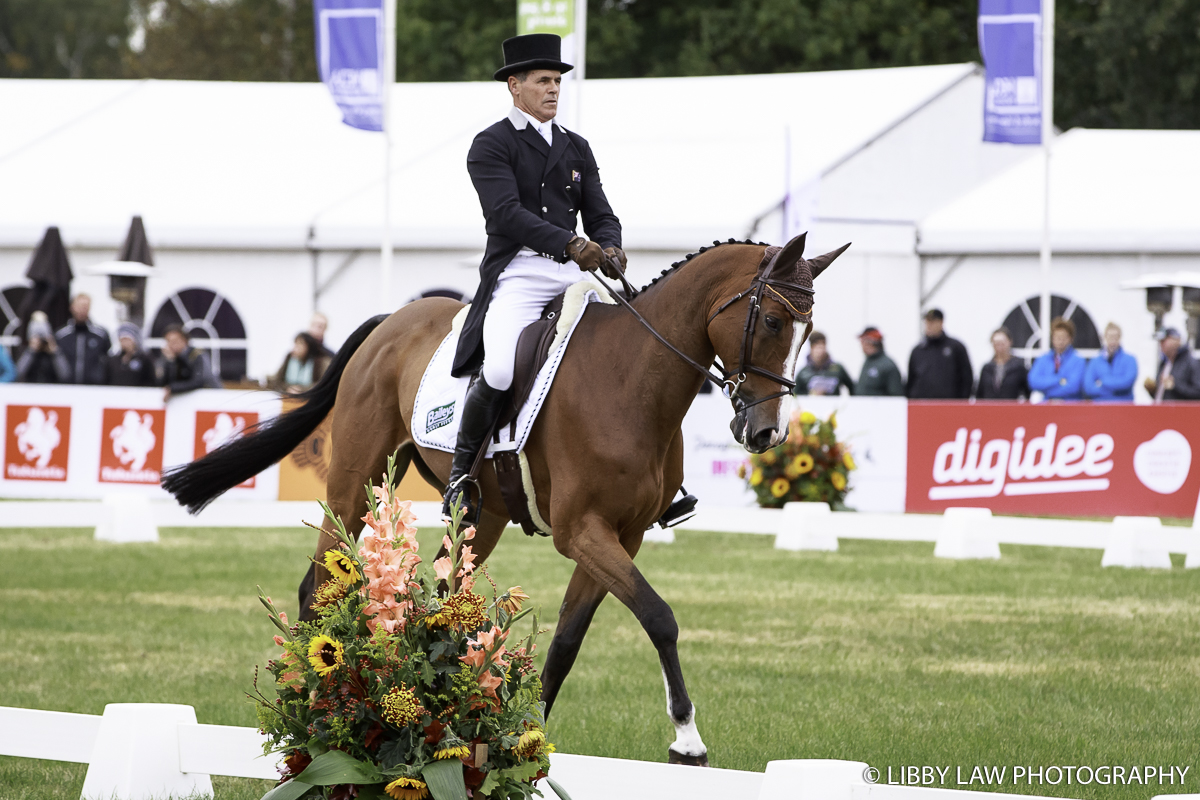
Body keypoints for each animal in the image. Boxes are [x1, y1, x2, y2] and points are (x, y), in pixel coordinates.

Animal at [164, 230, 849, 762]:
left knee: (444, 598)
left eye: (809, 328)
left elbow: (567, 643)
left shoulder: (619, 537)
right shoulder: (582, 532)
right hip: (355, 482)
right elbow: (659, 616)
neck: (632, 380)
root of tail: (390, 322)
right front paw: (687, 739)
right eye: (771, 321)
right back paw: (307, 713)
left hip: (480, 516)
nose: (765, 434)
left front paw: (524, 737)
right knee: (317, 586)